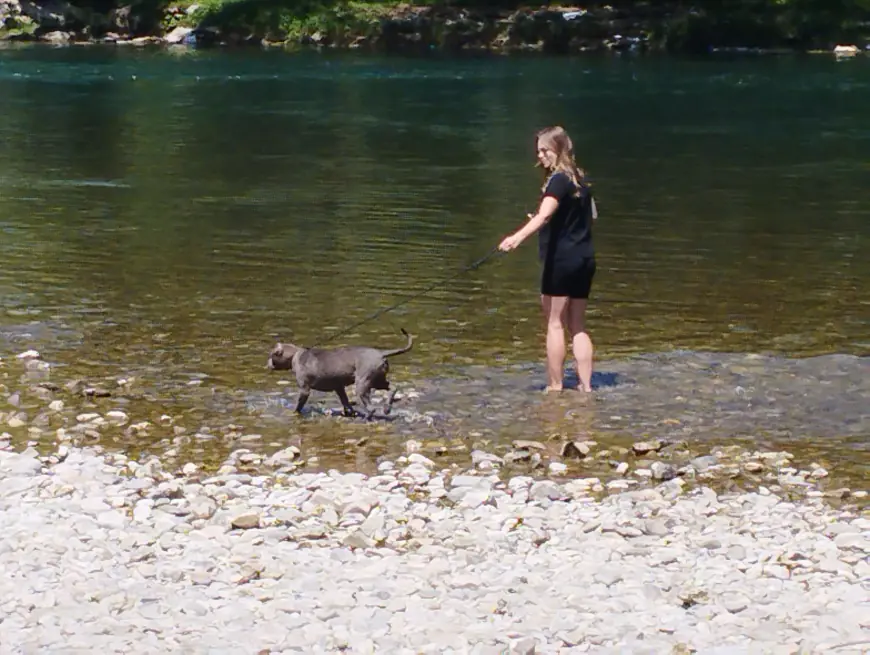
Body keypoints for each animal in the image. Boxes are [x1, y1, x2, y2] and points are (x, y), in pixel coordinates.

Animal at [266, 328, 416, 420]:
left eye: (271, 354)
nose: (266, 363)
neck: (295, 355)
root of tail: (381, 353)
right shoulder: (339, 387)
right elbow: (346, 401)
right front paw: (351, 413)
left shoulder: (304, 389)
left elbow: (299, 404)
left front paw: (293, 413)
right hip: (378, 380)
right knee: (393, 387)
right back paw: (387, 408)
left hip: (363, 383)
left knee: (372, 408)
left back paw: (366, 419)